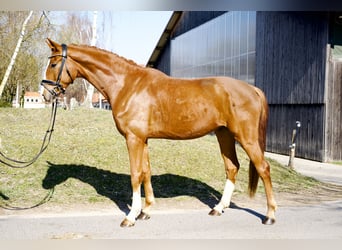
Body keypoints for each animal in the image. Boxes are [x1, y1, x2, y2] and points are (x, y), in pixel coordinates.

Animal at [43, 38, 278, 227]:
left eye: (53, 64)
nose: (46, 95)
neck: (127, 84)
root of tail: (252, 89)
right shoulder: (143, 139)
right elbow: (146, 172)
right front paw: (146, 211)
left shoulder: (133, 139)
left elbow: (135, 174)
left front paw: (131, 216)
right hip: (224, 134)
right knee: (232, 167)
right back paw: (219, 208)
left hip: (246, 138)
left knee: (263, 168)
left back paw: (269, 215)